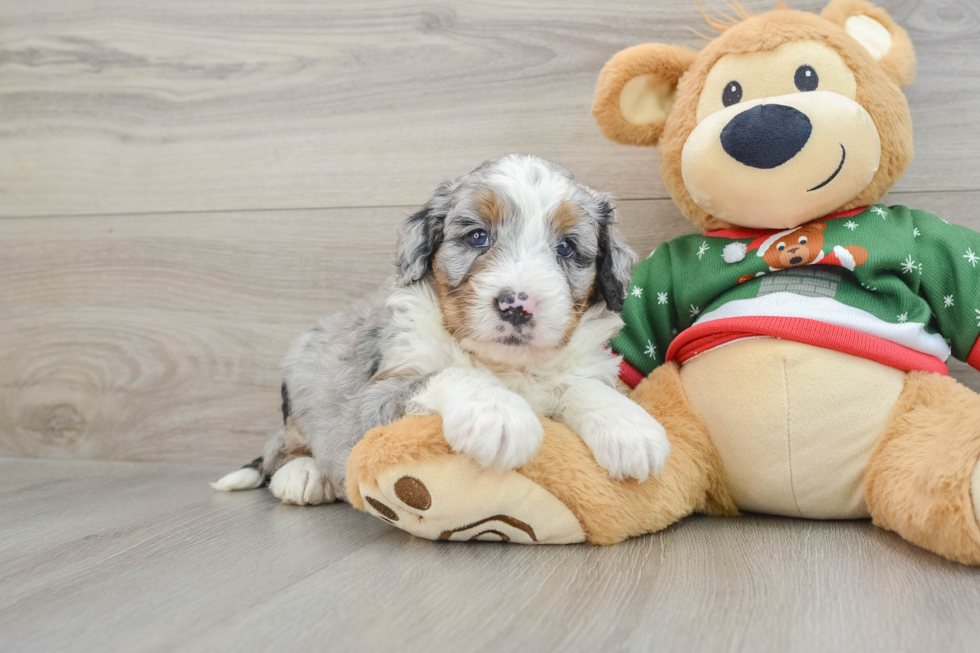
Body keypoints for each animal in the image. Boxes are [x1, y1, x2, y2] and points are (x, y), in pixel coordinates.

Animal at [212, 157, 672, 504]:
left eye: (566, 248)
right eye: (477, 237)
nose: (516, 305)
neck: (505, 365)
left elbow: (579, 384)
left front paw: (628, 426)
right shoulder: (375, 399)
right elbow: (449, 372)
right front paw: (499, 414)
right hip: (306, 372)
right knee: (286, 443)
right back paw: (304, 474)